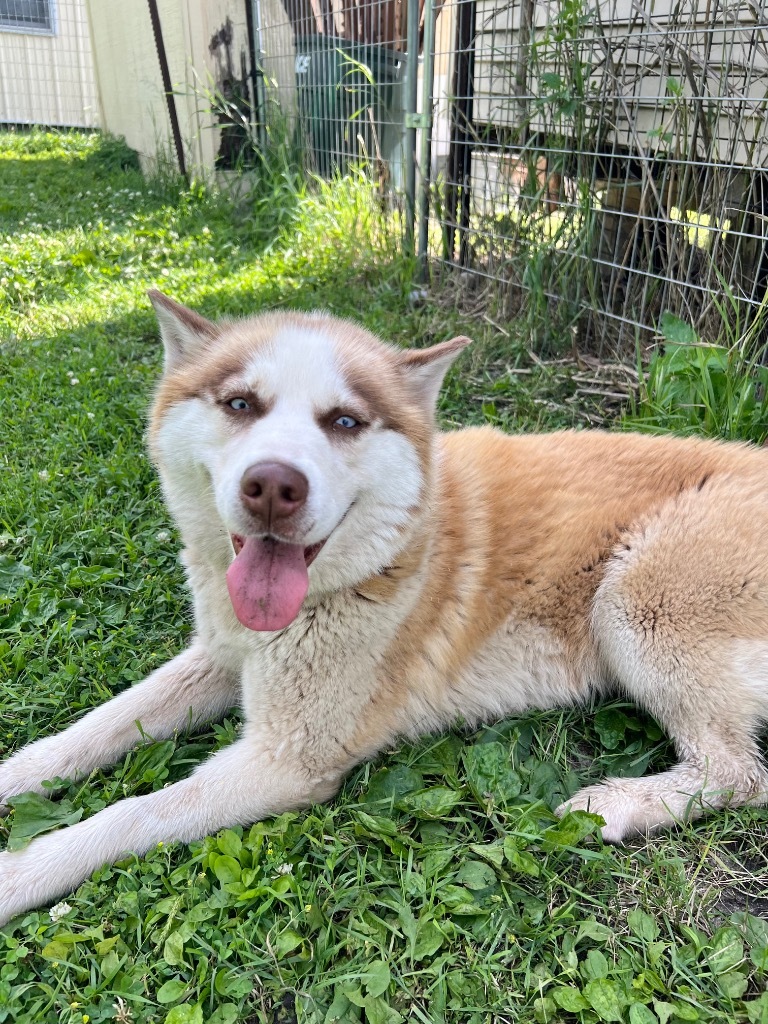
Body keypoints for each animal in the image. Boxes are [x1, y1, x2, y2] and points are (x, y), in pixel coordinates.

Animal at [1, 292, 768, 925]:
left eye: (344, 421)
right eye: (241, 404)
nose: (272, 487)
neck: (384, 554)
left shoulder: (289, 761)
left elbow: (128, 816)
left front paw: (21, 874)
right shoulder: (219, 658)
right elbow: (87, 732)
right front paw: (17, 775)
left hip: (634, 603)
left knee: (739, 774)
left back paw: (612, 804)